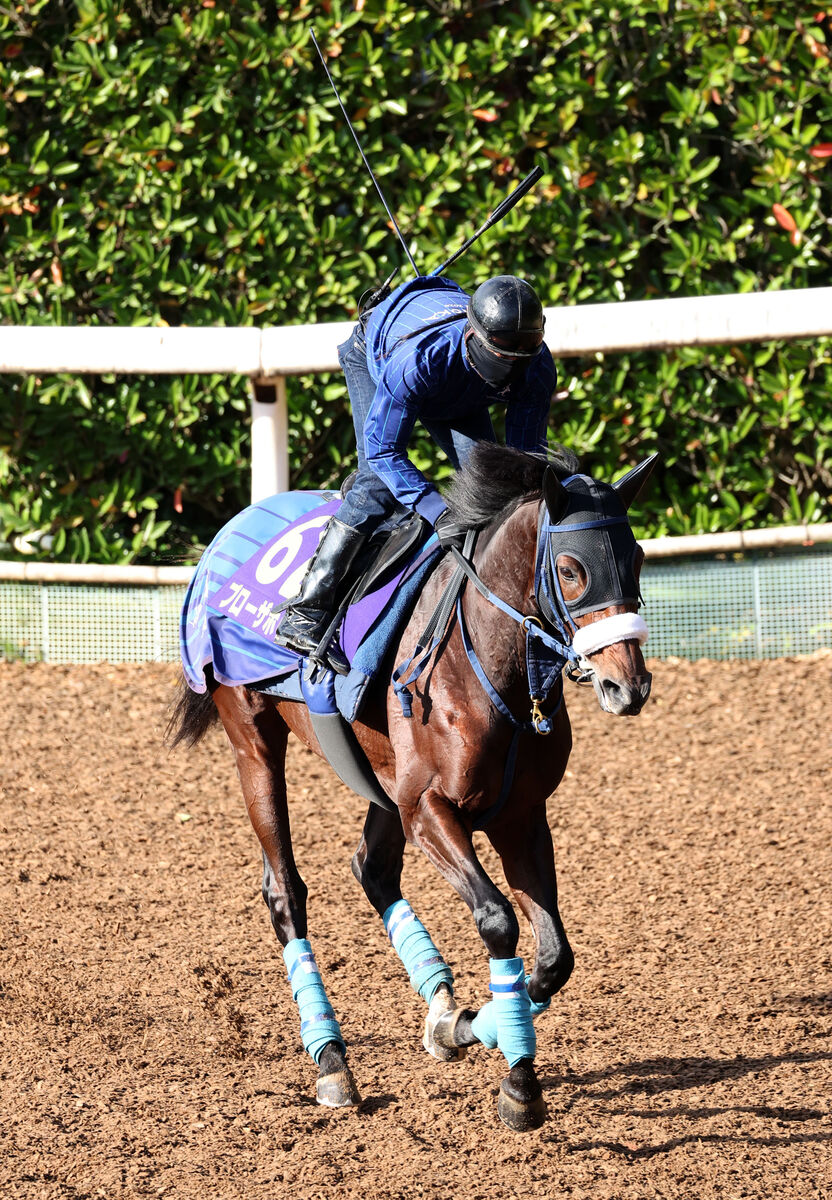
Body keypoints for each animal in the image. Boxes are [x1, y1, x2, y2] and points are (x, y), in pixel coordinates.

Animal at [169, 436, 657, 1128]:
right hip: (253, 737)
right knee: (285, 893)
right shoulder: (430, 807)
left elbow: (554, 956)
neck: (488, 665)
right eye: (570, 569)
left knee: (371, 868)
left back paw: (441, 1007)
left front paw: (480, 1033)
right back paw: (332, 1061)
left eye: (636, 559)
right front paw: (512, 1071)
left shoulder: (519, 814)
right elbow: (498, 921)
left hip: (381, 781)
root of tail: (231, 530)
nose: (627, 686)